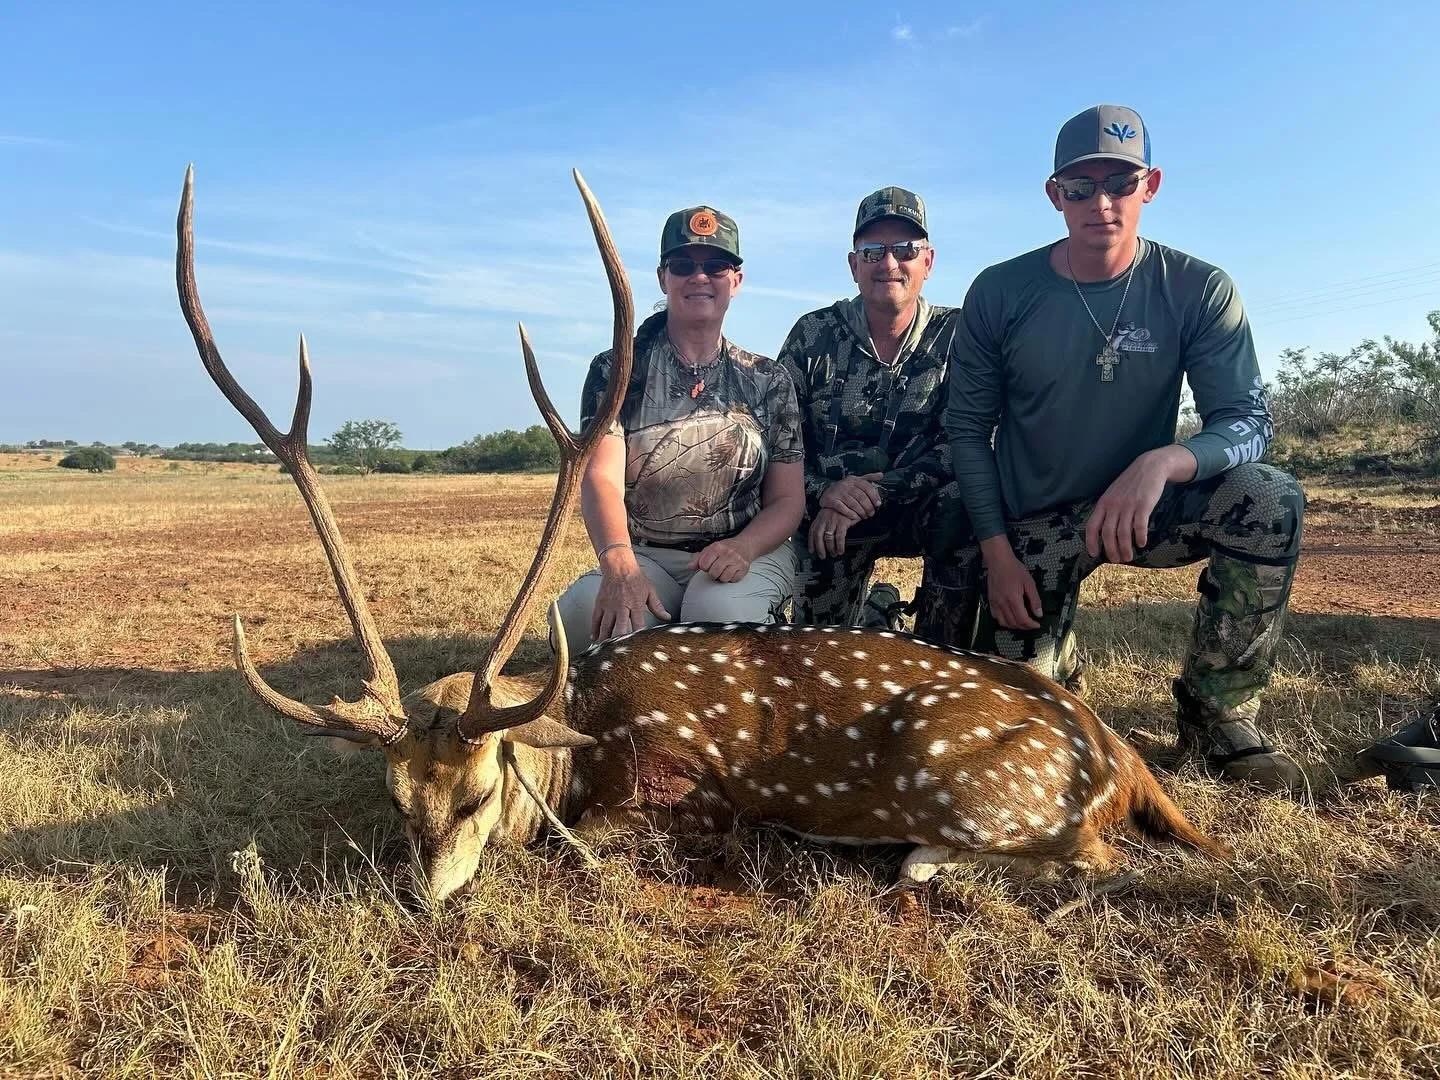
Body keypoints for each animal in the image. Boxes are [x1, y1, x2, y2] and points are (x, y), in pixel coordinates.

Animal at [177, 166, 1230, 903]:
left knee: (1090, 856)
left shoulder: (693, 788)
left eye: (475, 792)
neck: (580, 741)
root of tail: (1119, 756)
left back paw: (924, 858)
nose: (423, 897)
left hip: (989, 789)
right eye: (396, 800)